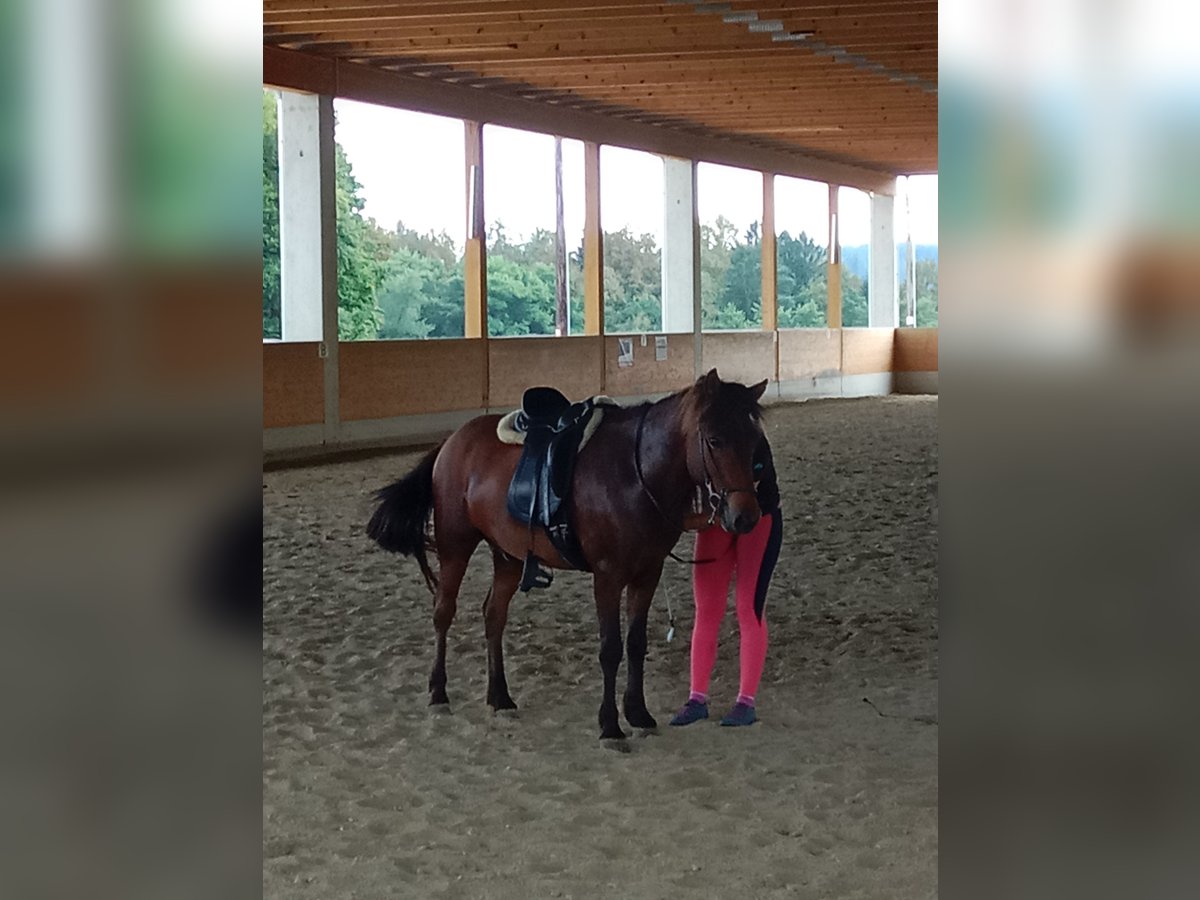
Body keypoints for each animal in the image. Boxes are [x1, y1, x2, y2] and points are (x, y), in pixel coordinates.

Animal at [360, 369, 768, 744]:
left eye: (753, 442)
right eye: (714, 440)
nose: (745, 517)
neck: (635, 474)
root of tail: (451, 441)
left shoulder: (647, 573)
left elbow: (636, 644)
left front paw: (638, 713)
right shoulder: (608, 576)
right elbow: (610, 649)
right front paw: (610, 726)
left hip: (508, 556)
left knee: (494, 616)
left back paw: (500, 697)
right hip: (454, 546)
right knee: (444, 612)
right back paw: (439, 692)